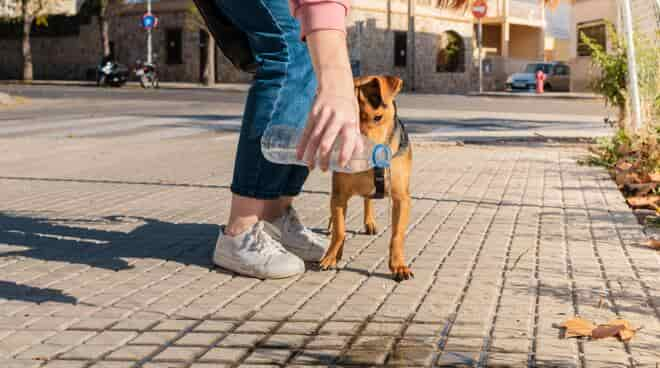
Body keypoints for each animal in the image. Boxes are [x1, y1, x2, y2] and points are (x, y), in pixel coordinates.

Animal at [320, 75, 412, 282]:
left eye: (377, 117)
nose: (359, 149)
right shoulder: (339, 195)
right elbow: (340, 230)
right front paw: (332, 256)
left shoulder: (401, 198)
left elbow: (397, 235)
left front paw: (398, 266)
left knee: (368, 200)